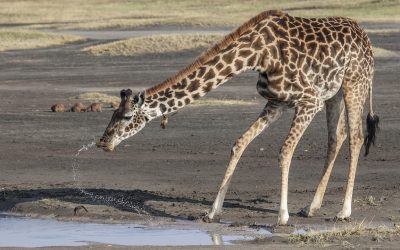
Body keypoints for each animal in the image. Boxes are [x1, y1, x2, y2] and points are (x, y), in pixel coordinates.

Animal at [96, 9, 378, 226]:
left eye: (126, 116)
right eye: (113, 113)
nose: (103, 142)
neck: (256, 55)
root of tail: (365, 37)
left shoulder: (309, 100)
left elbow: (285, 151)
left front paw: (282, 217)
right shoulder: (277, 102)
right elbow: (239, 143)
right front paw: (211, 212)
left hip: (354, 84)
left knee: (355, 137)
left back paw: (343, 212)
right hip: (333, 93)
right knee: (336, 137)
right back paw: (311, 207)